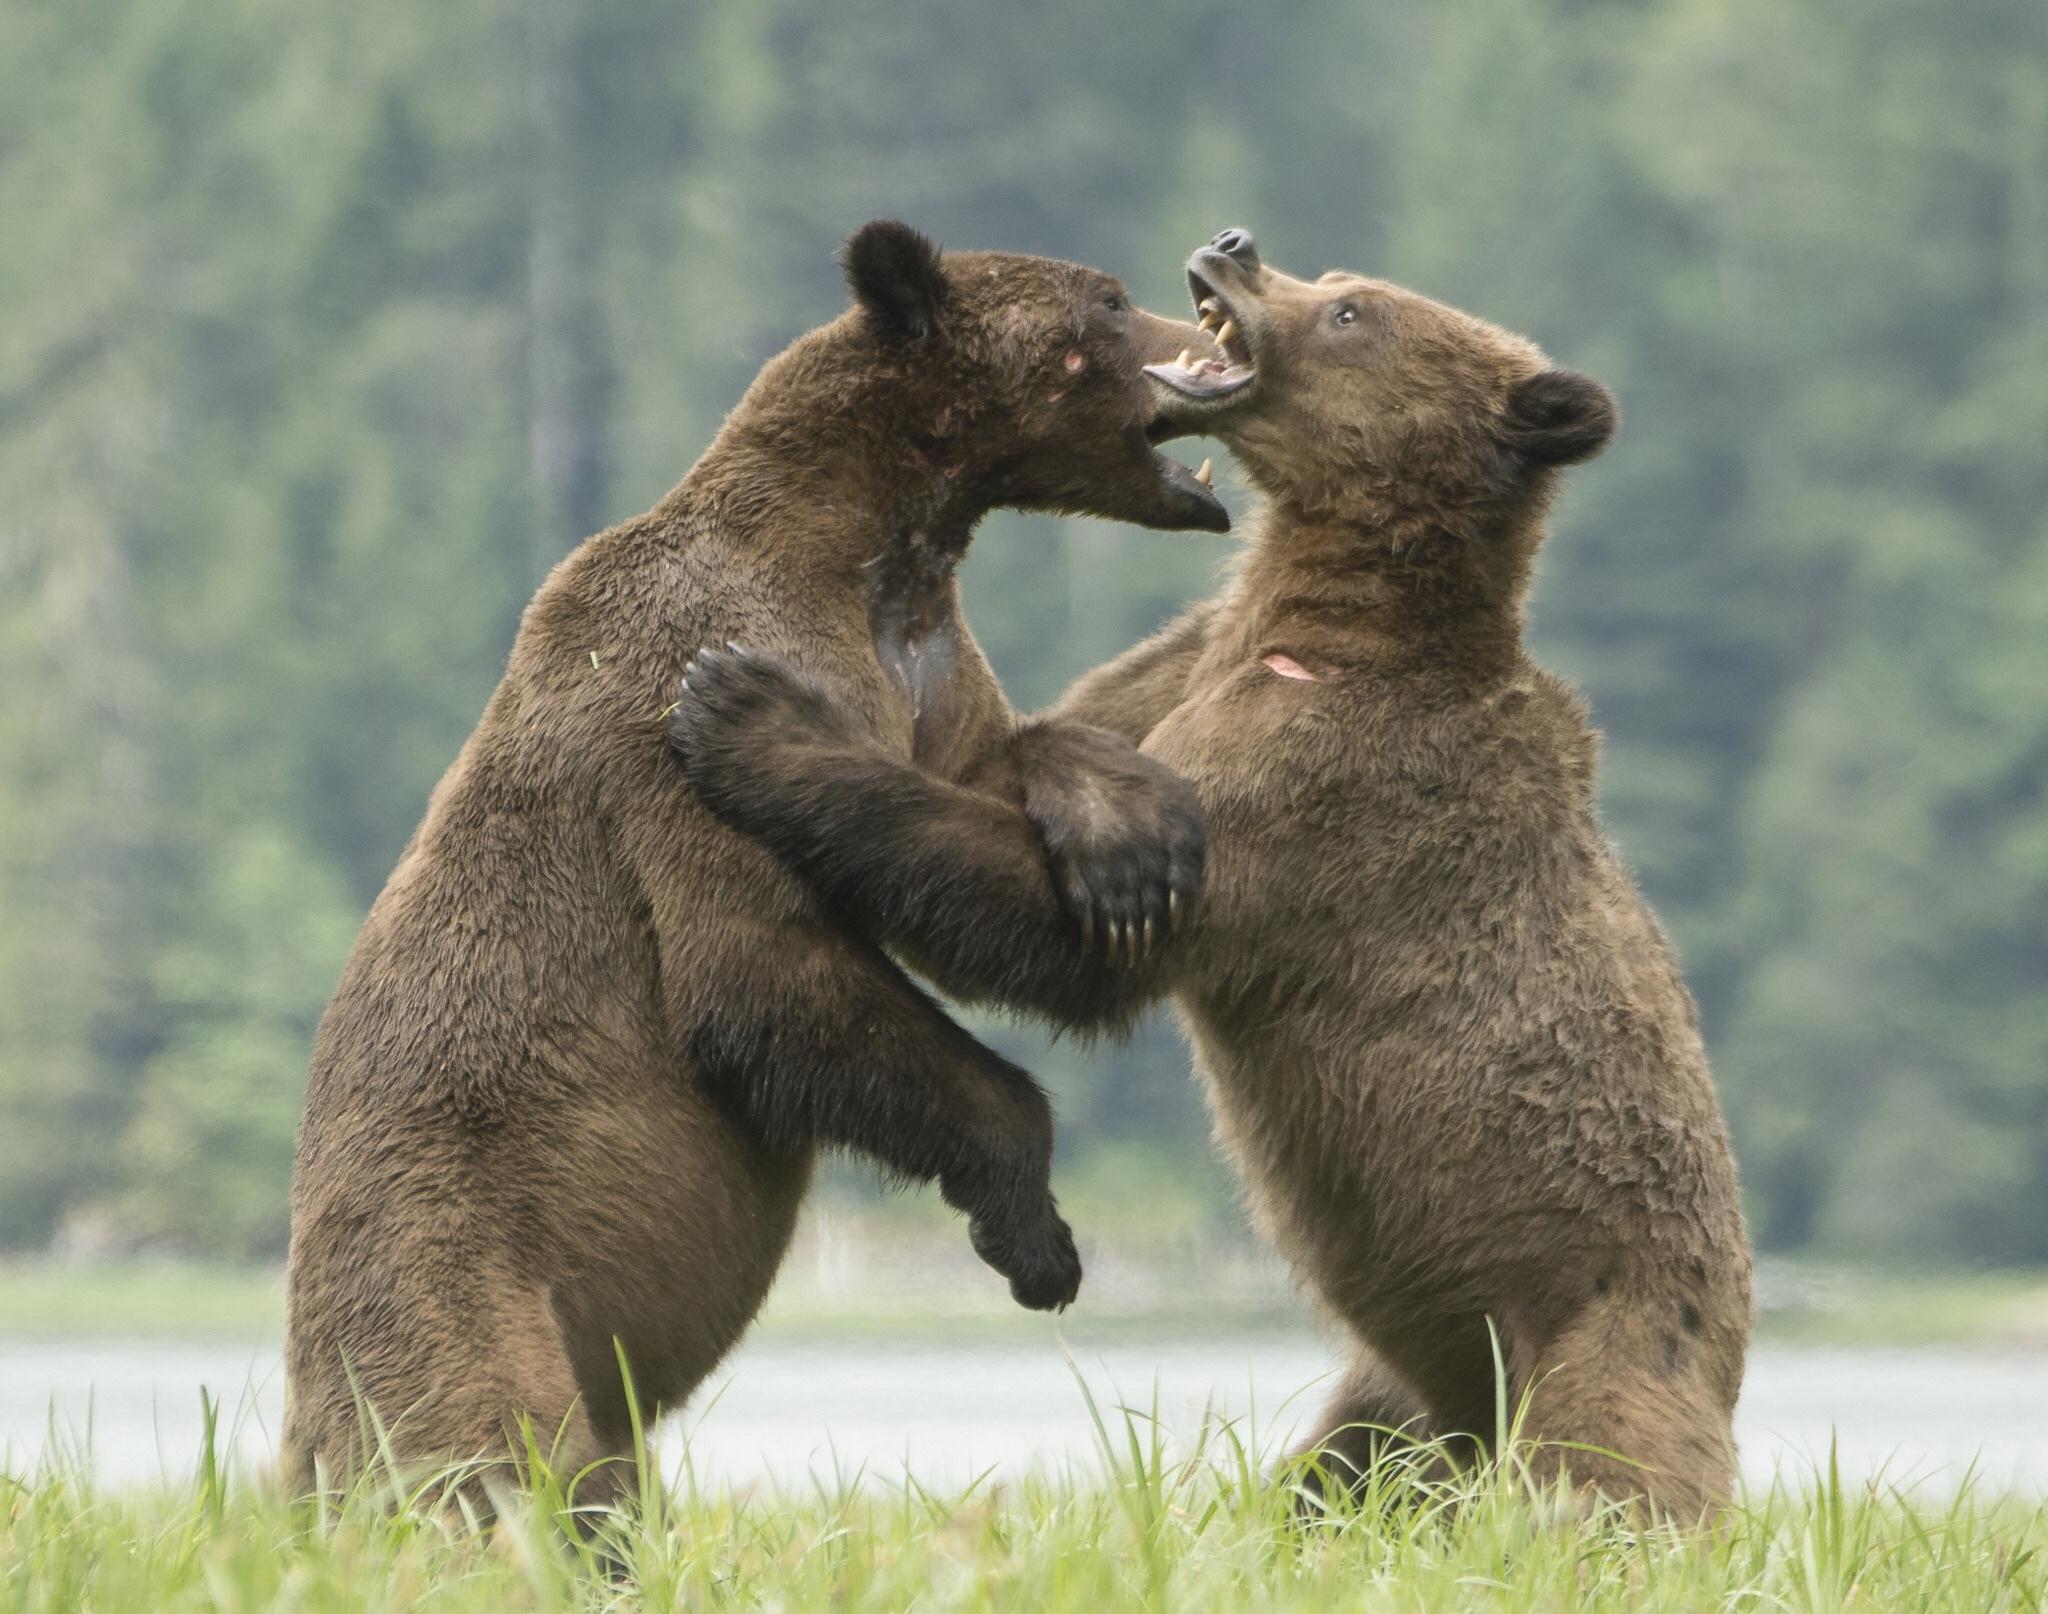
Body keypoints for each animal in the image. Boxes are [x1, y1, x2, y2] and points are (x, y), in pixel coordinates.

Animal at [281, 220, 1224, 1506]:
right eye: (1111, 305)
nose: (1208, 329)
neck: (876, 543)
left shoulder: (925, 666)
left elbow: (986, 772)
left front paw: (1124, 833)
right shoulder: (681, 692)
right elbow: (758, 976)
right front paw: (1031, 1233)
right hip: (448, 1280)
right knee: (488, 1464)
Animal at [666, 228, 1755, 1520]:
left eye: (1350, 310)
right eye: (1332, 280)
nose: (1234, 247)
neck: (1315, 617)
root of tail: (1731, 1352)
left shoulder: (1317, 801)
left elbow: (1061, 932)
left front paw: (749, 709)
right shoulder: (1189, 669)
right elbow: (1052, 740)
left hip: (1607, 1348)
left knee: (1598, 1485)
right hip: (1402, 1390)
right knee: (1344, 1470)